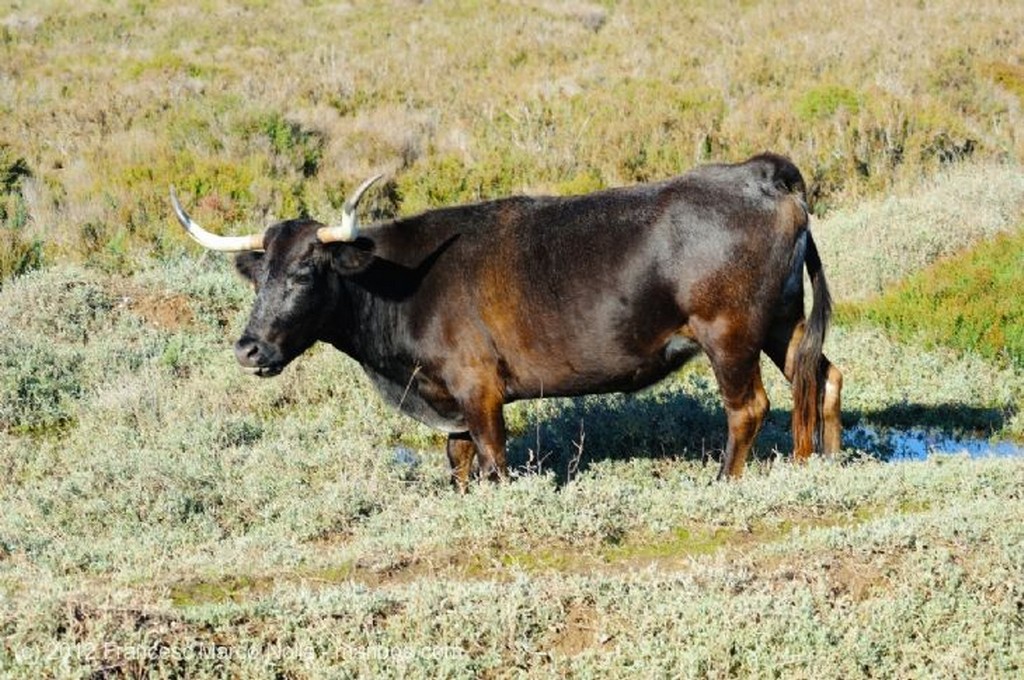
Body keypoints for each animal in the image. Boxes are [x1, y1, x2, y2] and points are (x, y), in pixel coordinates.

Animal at [172, 153, 843, 483]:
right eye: (259, 275)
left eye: (307, 272)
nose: (249, 349)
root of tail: (759, 173)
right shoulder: (448, 400)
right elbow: (460, 463)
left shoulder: (479, 389)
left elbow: (494, 461)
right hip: (780, 321)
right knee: (818, 377)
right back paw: (814, 464)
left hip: (728, 332)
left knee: (751, 405)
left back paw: (725, 482)